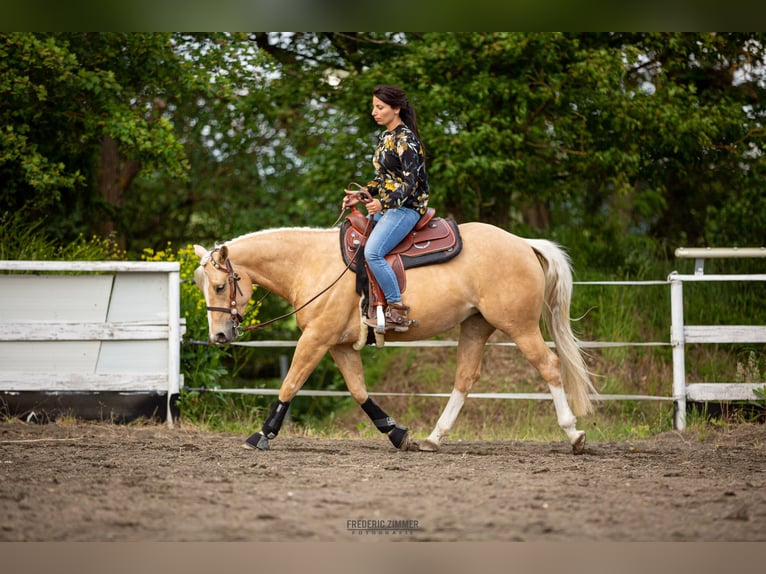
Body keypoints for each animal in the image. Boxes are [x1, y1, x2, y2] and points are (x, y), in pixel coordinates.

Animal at [194, 223, 600, 456]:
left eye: (220, 286)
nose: (219, 335)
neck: (311, 264)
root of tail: (523, 243)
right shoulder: (339, 345)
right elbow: (359, 391)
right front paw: (396, 433)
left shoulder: (317, 338)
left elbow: (291, 383)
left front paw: (262, 434)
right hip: (476, 326)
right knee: (465, 378)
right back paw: (434, 438)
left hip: (519, 326)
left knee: (549, 366)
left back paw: (573, 434)